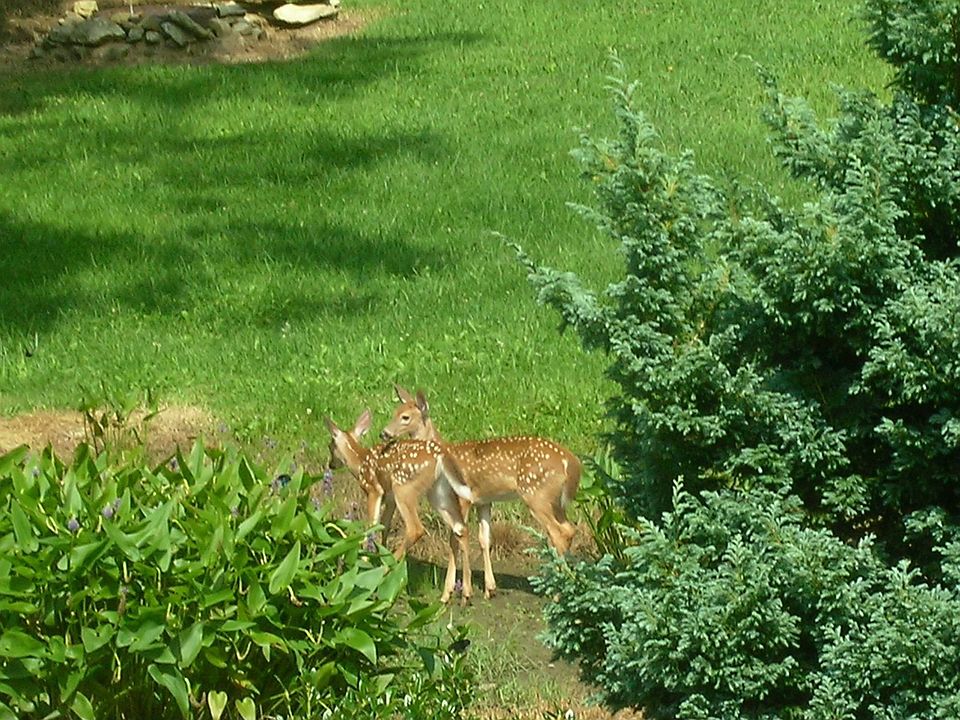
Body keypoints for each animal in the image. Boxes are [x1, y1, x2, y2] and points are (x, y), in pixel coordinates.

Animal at [324, 409, 473, 604]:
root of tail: (441, 454)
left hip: (404, 487)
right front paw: (378, 555)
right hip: (438, 492)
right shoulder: (390, 499)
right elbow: (384, 526)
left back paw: (388, 570)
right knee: (461, 528)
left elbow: (370, 526)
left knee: (416, 528)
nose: (331, 464)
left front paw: (364, 562)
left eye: (330, 446)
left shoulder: (373, 490)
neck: (360, 461)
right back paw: (464, 594)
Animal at [380, 385, 580, 599]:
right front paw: (489, 588)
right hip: (555, 501)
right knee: (569, 529)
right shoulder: (484, 501)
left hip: (536, 494)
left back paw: (559, 592)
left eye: (405, 417)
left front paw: (448, 592)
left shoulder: (462, 499)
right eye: (394, 412)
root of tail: (570, 461)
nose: (384, 433)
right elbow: (484, 539)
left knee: (558, 533)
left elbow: (454, 539)